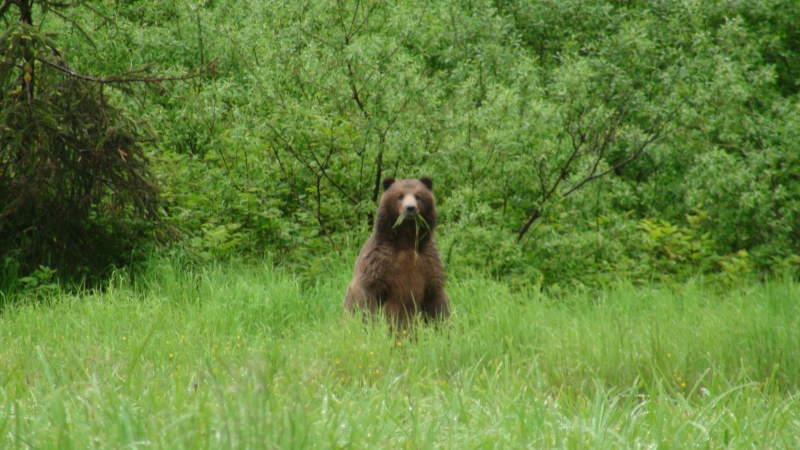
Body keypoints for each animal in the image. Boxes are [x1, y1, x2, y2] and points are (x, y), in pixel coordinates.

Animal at [344, 176, 451, 328]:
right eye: (400, 196)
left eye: (418, 196)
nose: (410, 208)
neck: (406, 240)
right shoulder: (379, 260)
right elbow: (367, 294)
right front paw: (371, 324)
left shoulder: (428, 261)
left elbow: (436, 297)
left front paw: (443, 325)